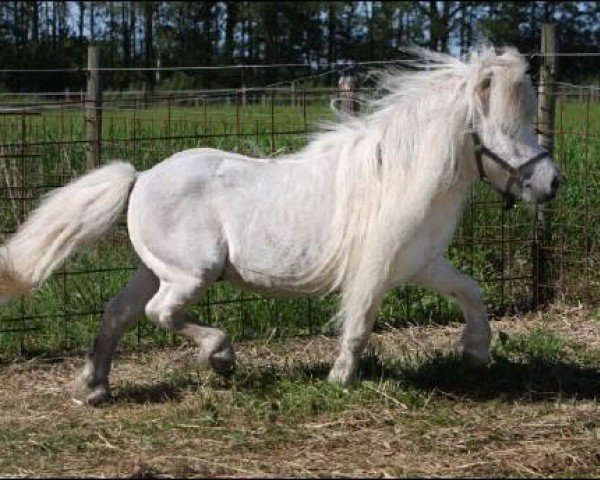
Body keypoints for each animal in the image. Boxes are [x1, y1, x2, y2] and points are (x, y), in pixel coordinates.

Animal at [0, 46, 556, 404]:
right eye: (504, 130)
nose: (551, 183)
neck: (396, 176)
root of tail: (140, 178)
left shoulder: (420, 262)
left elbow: (472, 292)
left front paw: (477, 354)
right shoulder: (376, 268)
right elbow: (359, 323)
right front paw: (341, 379)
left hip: (154, 269)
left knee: (118, 313)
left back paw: (95, 388)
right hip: (192, 272)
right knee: (161, 313)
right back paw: (221, 356)